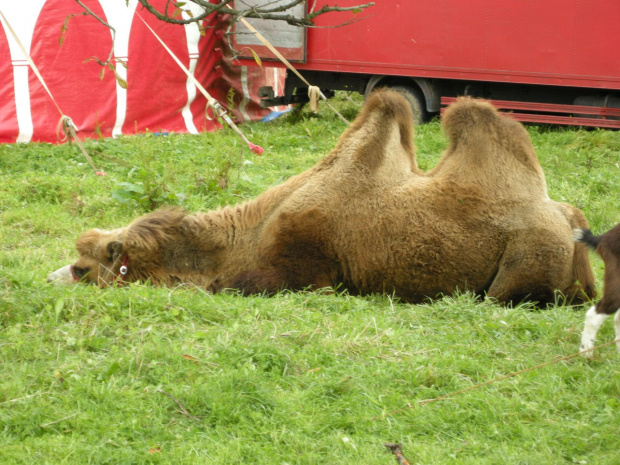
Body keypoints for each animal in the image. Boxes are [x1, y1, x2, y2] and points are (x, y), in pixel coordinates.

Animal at [48, 89, 596, 304]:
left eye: (83, 268)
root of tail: (575, 223)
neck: (249, 236)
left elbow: (240, 286)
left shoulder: (305, 271)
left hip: (527, 257)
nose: (51, 279)